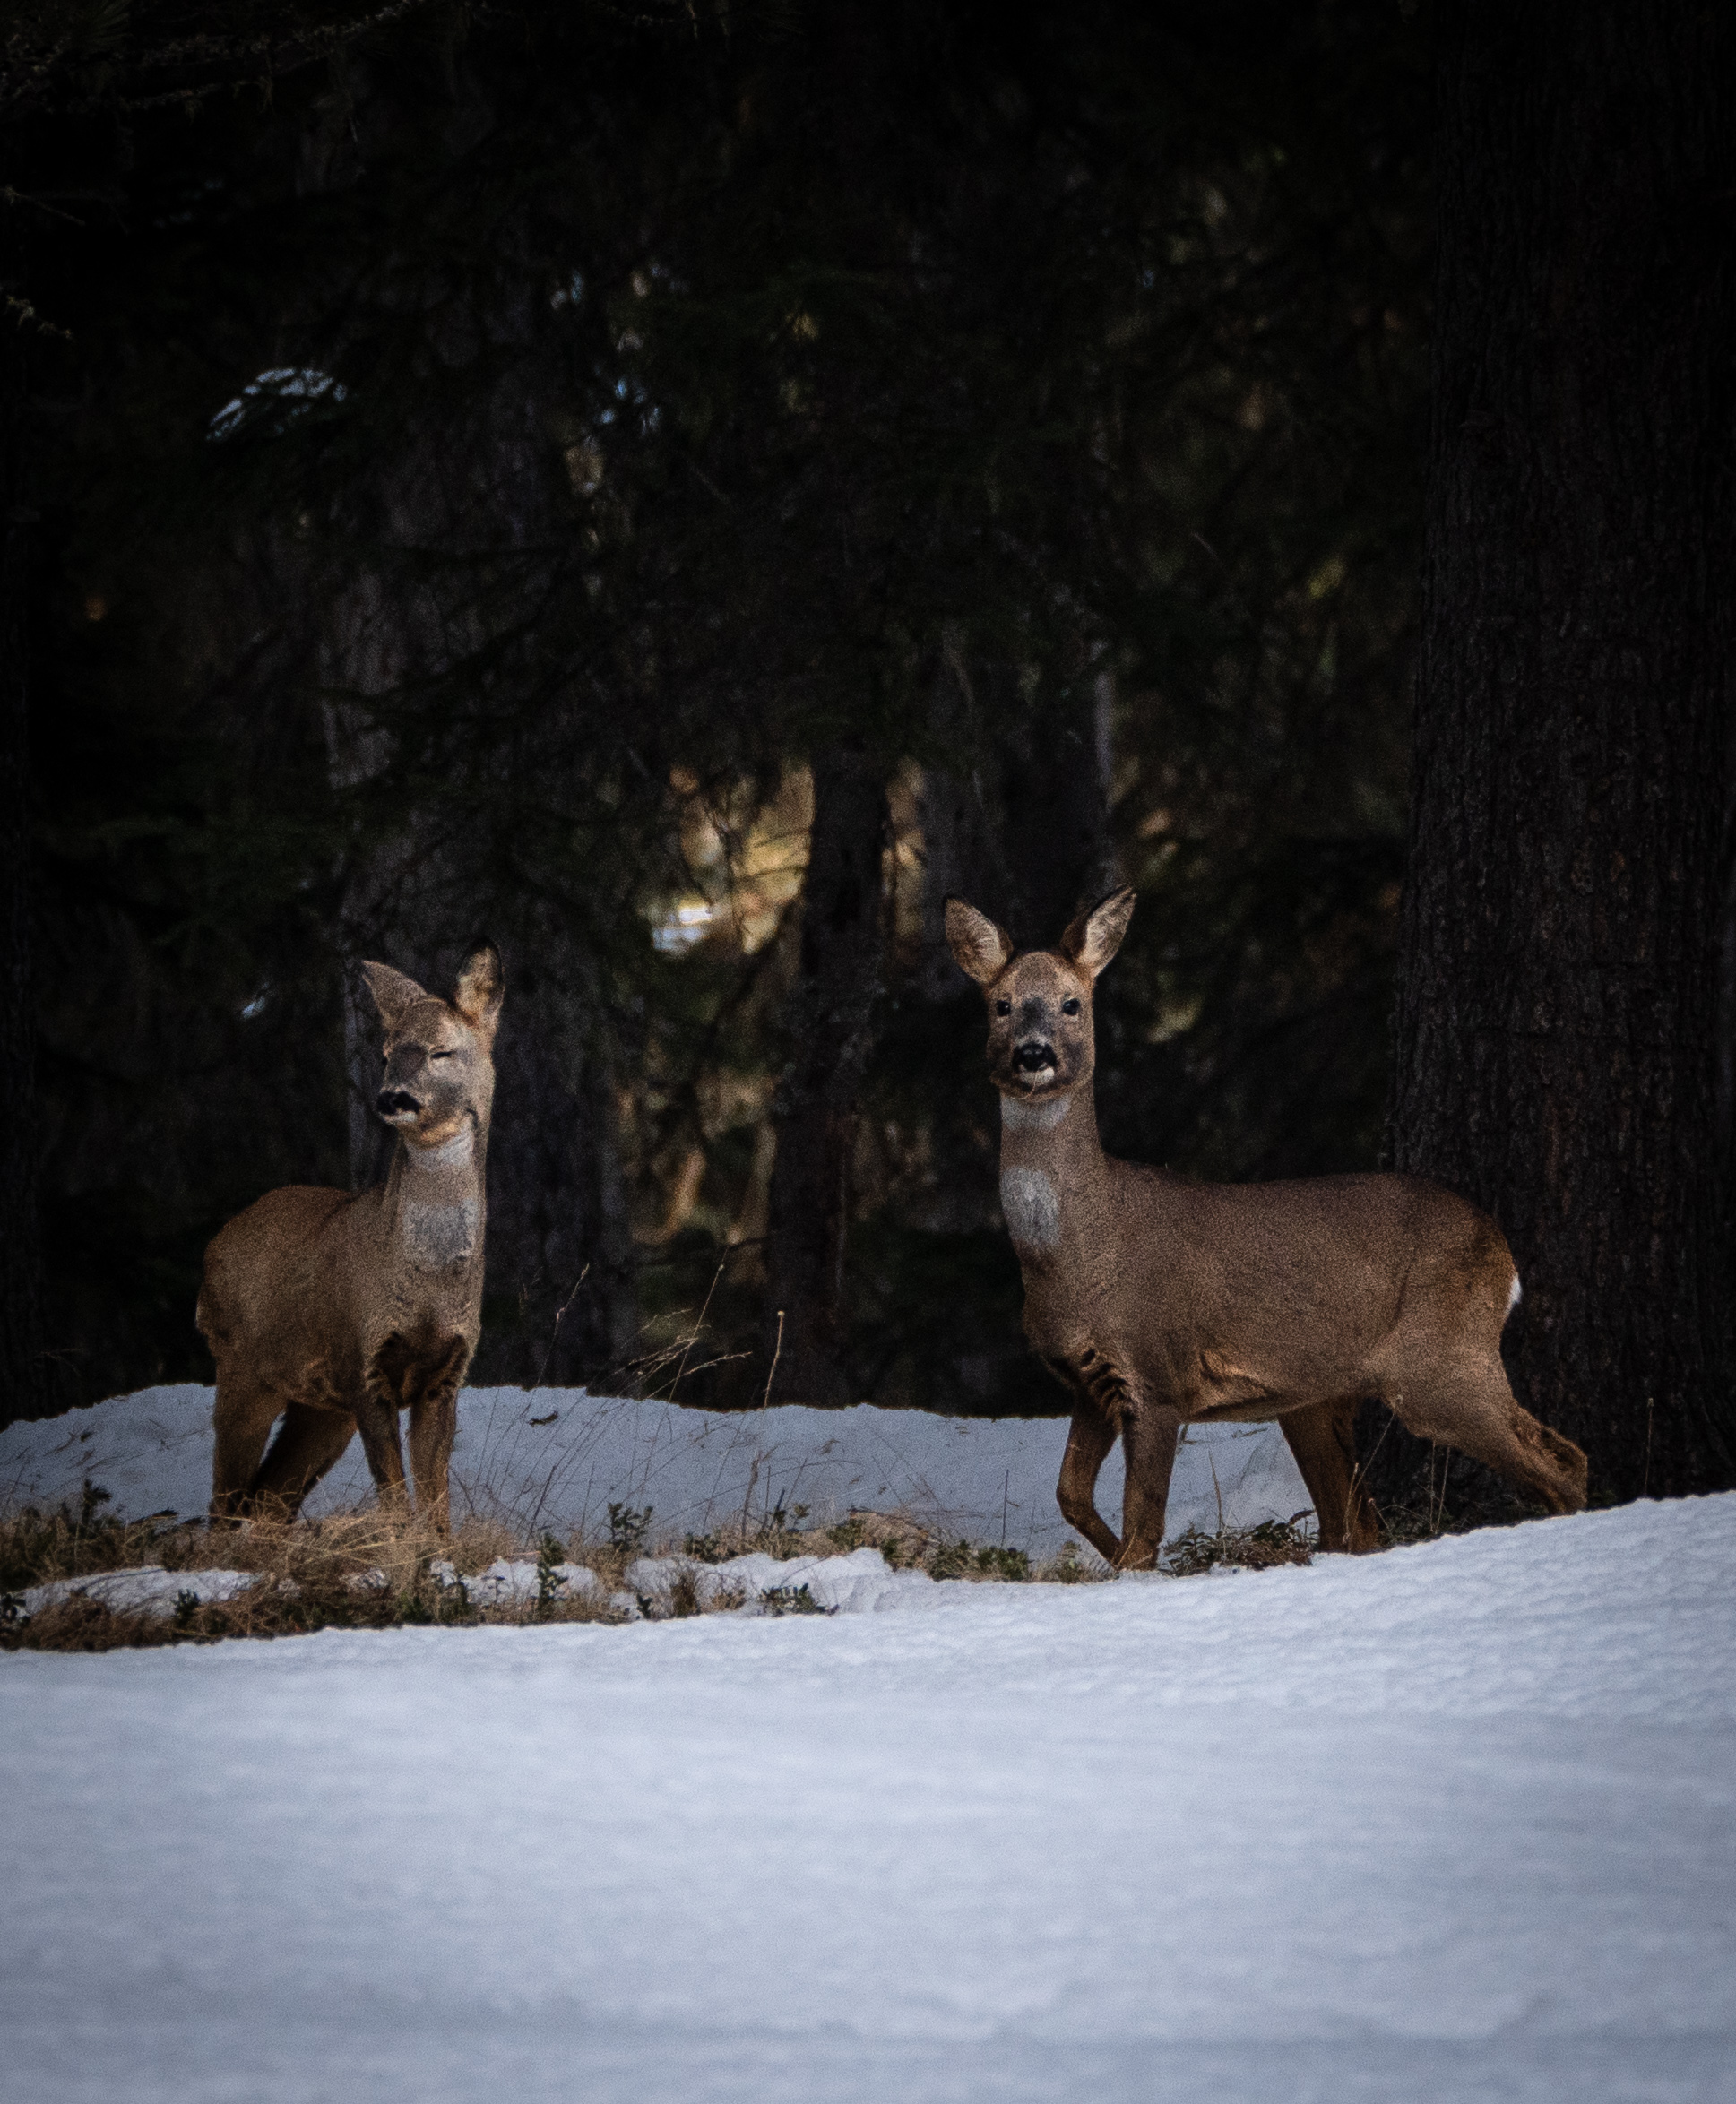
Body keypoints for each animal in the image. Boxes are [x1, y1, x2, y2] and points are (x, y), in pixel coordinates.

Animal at [197, 945, 503, 1531]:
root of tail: (212, 1248)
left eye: (442, 1052)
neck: (428, 1285)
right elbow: (394, 1493)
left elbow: (436, 1500)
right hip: (242, 1369)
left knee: (269, 1502)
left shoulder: (446, 1374)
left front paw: (439, 1549)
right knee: (224, 1505)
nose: (392, 1098)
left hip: (319, 1408)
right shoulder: (361, 1363)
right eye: (384, 1055)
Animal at [946, 889, 1588, 1569]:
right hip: (1320, 1395)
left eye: (1072, 1003)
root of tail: (1503, 1253)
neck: (1076, 1256)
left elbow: (1143, 1527)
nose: (1033, 1053)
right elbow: (1071, 1496)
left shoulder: (1157, 1372)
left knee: (1561, 1462)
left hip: (1440, 1358)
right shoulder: (1089, 1383)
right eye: (1000, 1004)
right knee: (1357, 1524)